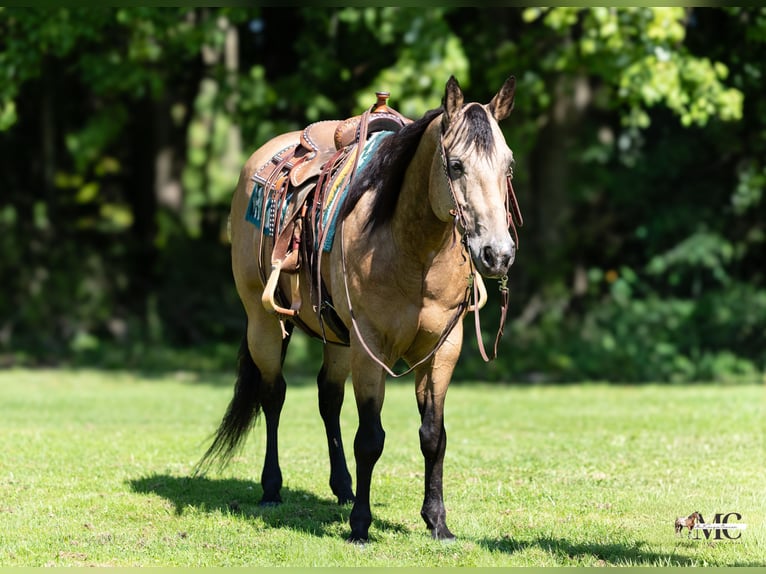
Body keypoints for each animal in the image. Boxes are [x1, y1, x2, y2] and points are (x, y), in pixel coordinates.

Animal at [197, 74, 519, 543]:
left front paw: (437, 522)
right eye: (456, 165)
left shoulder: (444, 348)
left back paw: (343, 487)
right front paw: (361, 526)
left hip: (336, 337)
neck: (412, 249)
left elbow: (433, 435)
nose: (497, 254)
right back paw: (272, 488)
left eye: (508, 167)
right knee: (273, 396)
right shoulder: (371, 348)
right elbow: (370, 437)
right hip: (265, 323)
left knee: (327, 398)